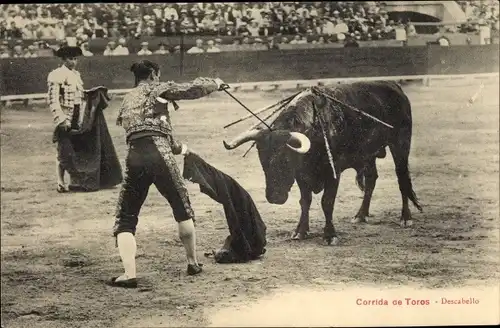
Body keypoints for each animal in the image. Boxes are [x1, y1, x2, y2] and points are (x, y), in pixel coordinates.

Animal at [225, 81, 424, 246]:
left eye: (286, 160)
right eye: (263, 161)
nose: (274, 197)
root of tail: (395, 86)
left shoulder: (333, 171)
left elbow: (327, 202)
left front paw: (330, 235)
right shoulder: (302, 175)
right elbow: (305, 201)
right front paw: (300, 231)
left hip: (400, 144)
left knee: (402, 179)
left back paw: (405, 218)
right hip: (368, 155)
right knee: (371, 179)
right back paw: (361, 215)